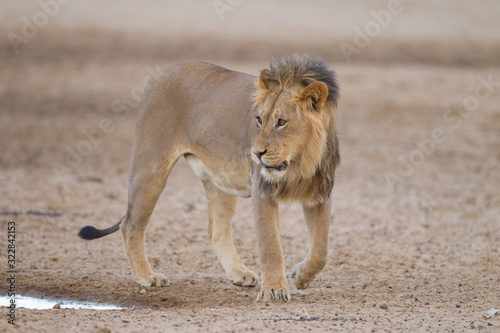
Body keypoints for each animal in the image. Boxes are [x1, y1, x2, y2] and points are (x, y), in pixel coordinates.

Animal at [78, 53, 342, 300]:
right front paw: (274, 290)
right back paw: (147, 276)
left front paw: (300, 277)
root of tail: (160, 74)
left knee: (217, 232)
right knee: (130, 225)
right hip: (150, 169)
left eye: (281, 122)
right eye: (259, 119)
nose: (256, 153)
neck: (301, 162)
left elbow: (321, 250)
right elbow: (271, 246)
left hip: (221, 182)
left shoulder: (320, 194)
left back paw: (239, 273)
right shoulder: (262, 191)